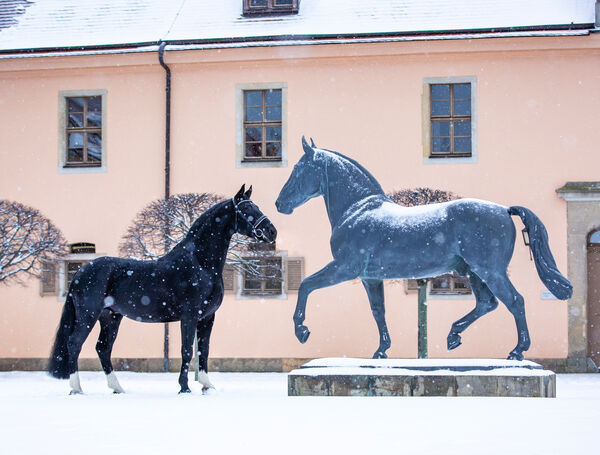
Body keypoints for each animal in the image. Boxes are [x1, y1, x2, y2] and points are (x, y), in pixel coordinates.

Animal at [48, 184, 278, 392]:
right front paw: (184, 388)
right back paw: (77, 389)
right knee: (74, 344)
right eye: (247, 209)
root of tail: (81, 271)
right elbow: (187, 350)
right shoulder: (189, 315)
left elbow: (203, 351)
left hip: (111, 317)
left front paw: (207, 386)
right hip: (88, 315)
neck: (200, 262)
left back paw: (117, 388)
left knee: (102, 348)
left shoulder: (207, 317)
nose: (272, 231)